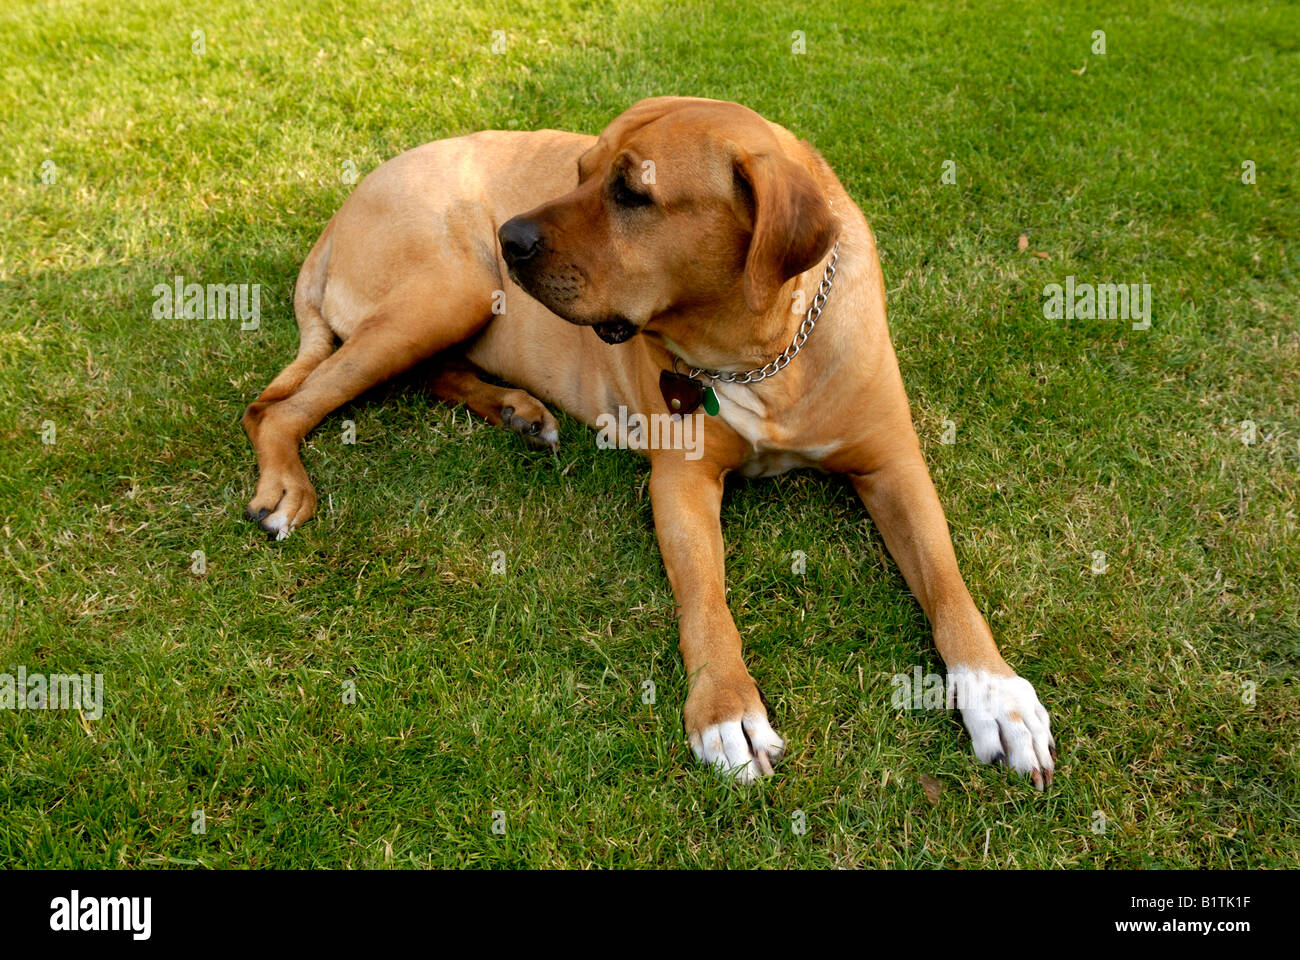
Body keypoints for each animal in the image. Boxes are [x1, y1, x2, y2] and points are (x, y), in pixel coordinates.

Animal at [241, 95, 1055, 785]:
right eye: (578, 171)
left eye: (632, 193)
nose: (511, 237)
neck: (765, 350)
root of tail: (340, 212)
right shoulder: (681, 480)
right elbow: (705, 599)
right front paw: (727, 710)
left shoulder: (892, 463)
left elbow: (947, 580)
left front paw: (998, 697)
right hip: (448, 291)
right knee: (272, 409)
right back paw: (285, 484)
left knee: (419, 373)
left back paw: (514, 408)